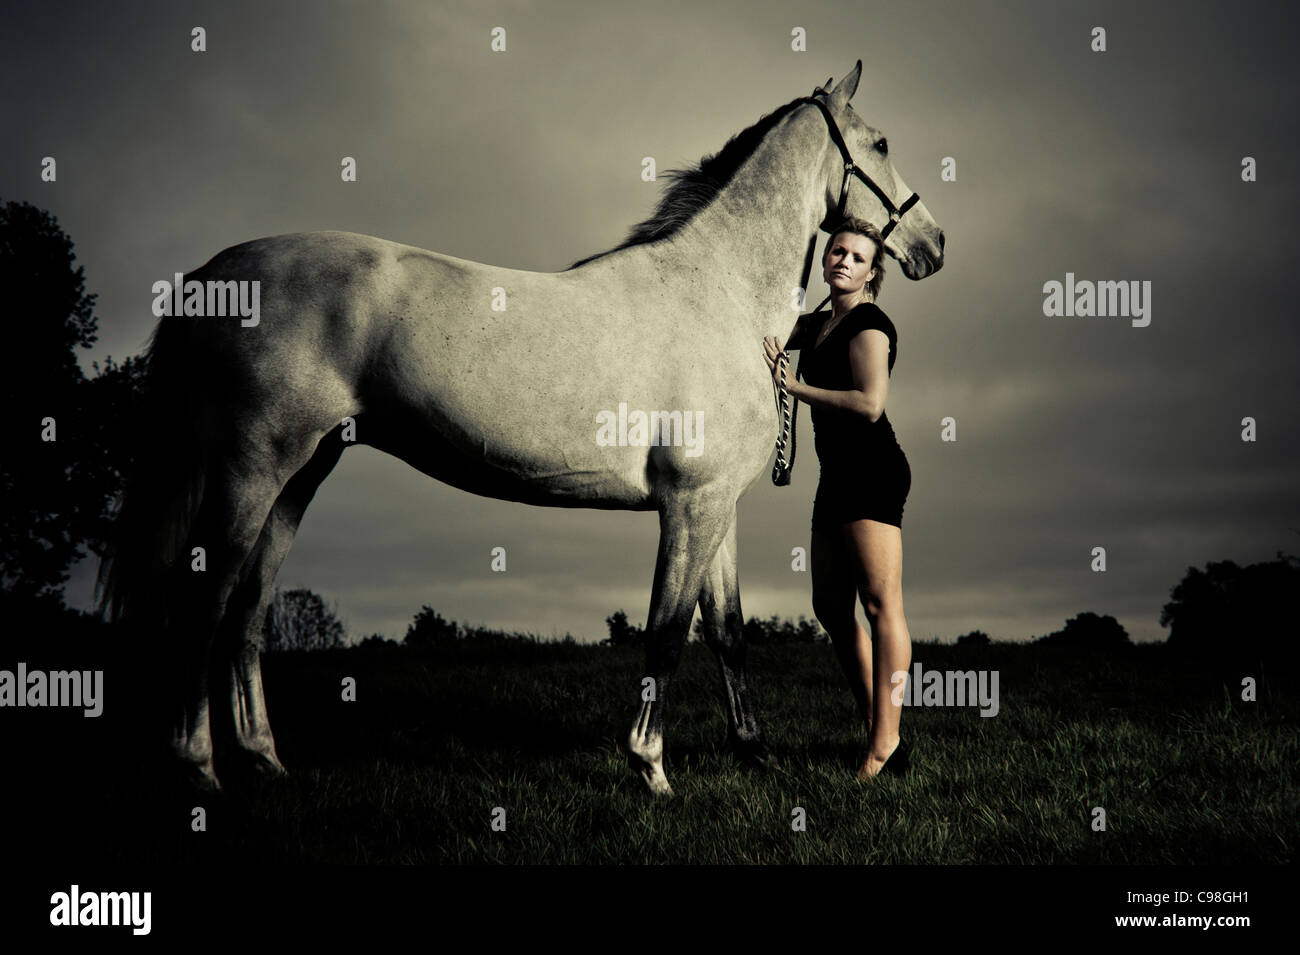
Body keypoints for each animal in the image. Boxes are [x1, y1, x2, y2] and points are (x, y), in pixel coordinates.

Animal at [94, 61, 946, 800]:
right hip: (252, 470)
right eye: (880, 144)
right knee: (204, 606)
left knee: (246, 614)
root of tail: (214, 275)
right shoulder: (689, 505)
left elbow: (728, 631)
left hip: (300, 476)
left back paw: (265, 763)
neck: (719, 296)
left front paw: (754, 755)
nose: (933, 245)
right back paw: (199, 769)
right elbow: (666, 632)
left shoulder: (716, 508)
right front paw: (652, 771)